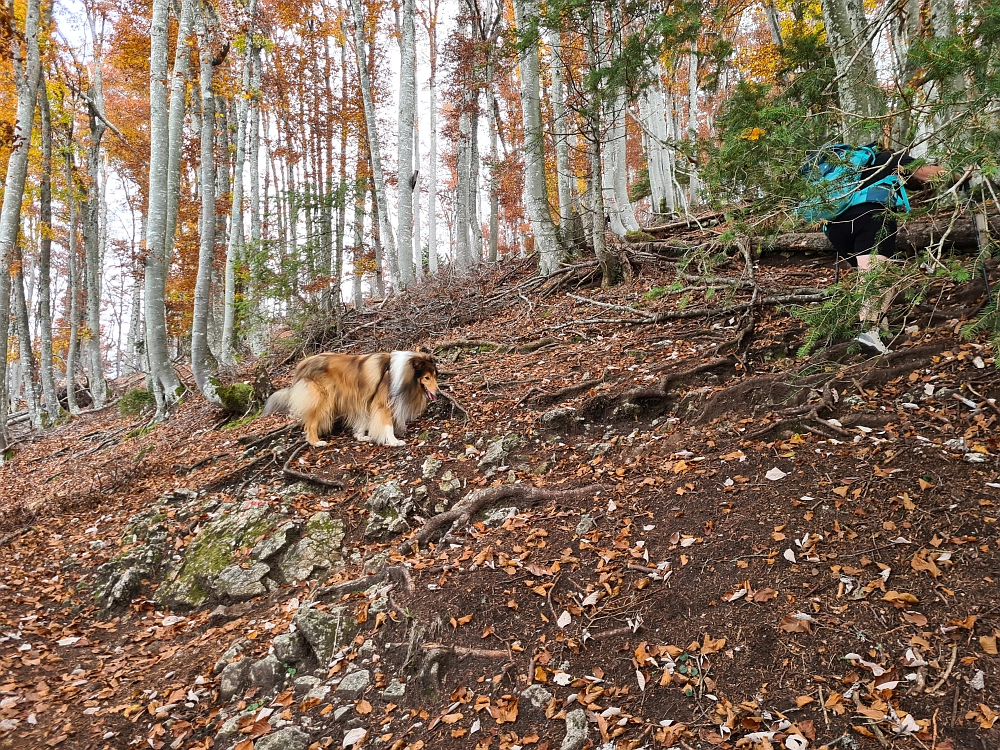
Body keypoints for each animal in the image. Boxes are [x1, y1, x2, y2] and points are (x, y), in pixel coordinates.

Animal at [264, 352, 440, 450]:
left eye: (435, 376)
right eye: (426, 377)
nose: (438, 393)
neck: (401, 374)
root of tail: (302, 365)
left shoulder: (365, 400)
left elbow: (363, 421)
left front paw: (361, 436)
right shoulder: (382, 404)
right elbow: (387, 425)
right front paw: (393, 441)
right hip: (324, 400)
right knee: (310, 423)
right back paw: (316, 442)